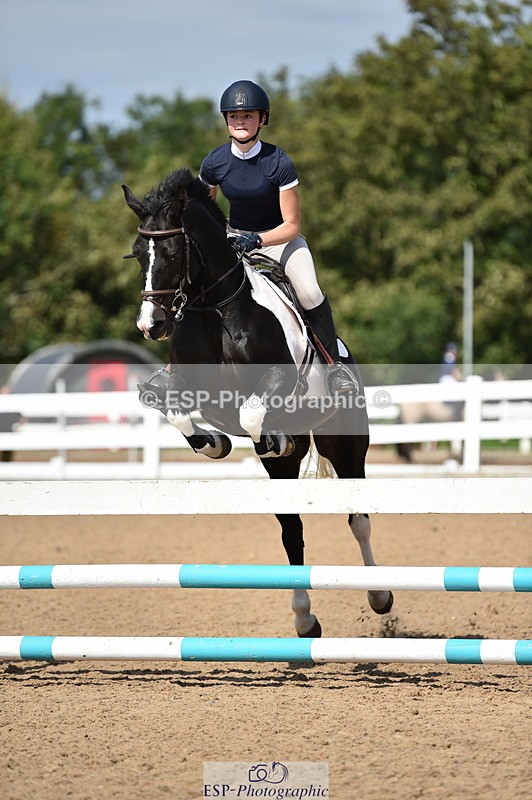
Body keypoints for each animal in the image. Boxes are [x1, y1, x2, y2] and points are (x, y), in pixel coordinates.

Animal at [122, 167, 393, 636]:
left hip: (345, 443)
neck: (214, 308)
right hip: (286, 472)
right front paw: (213, 444)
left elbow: (252, 411)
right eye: (139, 254)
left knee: (358, 518)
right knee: (292, 530)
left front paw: (272, 437)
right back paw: (305, 619)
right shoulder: (188, 386)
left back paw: (379, 596)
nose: (150, 325)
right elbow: (175, 409)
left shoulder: (278, 378)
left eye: (174, 252)